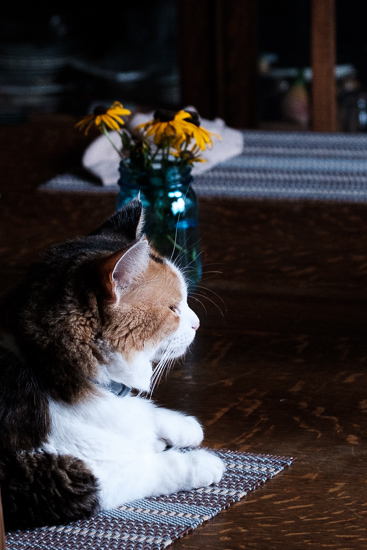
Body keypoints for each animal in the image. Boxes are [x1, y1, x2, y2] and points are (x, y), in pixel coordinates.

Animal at [0, 198, 224, 532]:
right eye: (174, 308)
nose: (197, 324)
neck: (46, 364)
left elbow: (145, 414)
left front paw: (180, 426)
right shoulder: (55, 481)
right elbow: (146, 468)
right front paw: (200, 462)